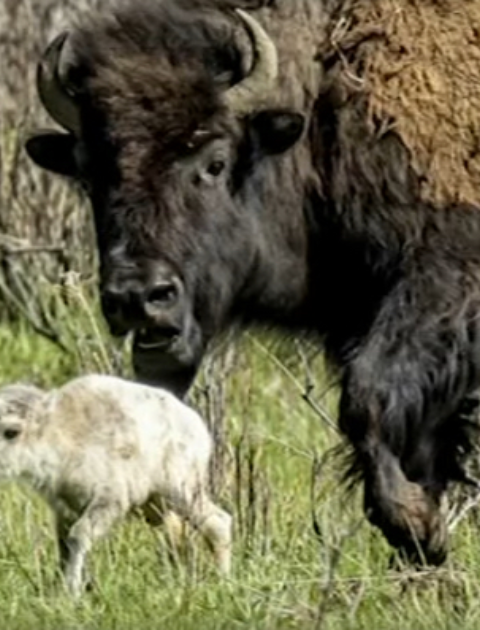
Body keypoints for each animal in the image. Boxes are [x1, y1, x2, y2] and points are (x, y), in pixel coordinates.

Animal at [25, 0, 480, 565]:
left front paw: (416, 525)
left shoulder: (439, 283)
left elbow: (367, 397)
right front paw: (422, 541)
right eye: (89, 176)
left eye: (215, 162)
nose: (138, 297)